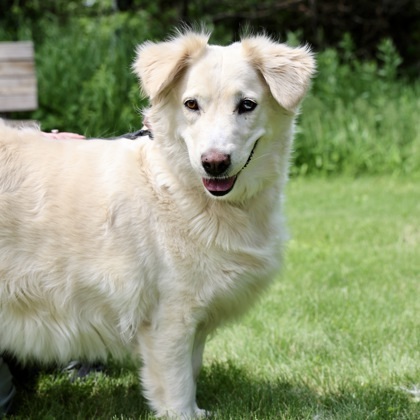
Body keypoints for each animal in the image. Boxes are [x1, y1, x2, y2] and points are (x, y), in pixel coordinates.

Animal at [0, 31, 314, 418]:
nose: (214, 163)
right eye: (191, 104)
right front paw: (184, 414)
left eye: (247, 105)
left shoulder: (193, 320)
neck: (179, 190)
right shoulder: (169, 319)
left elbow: (190, 373)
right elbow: (177, 388)